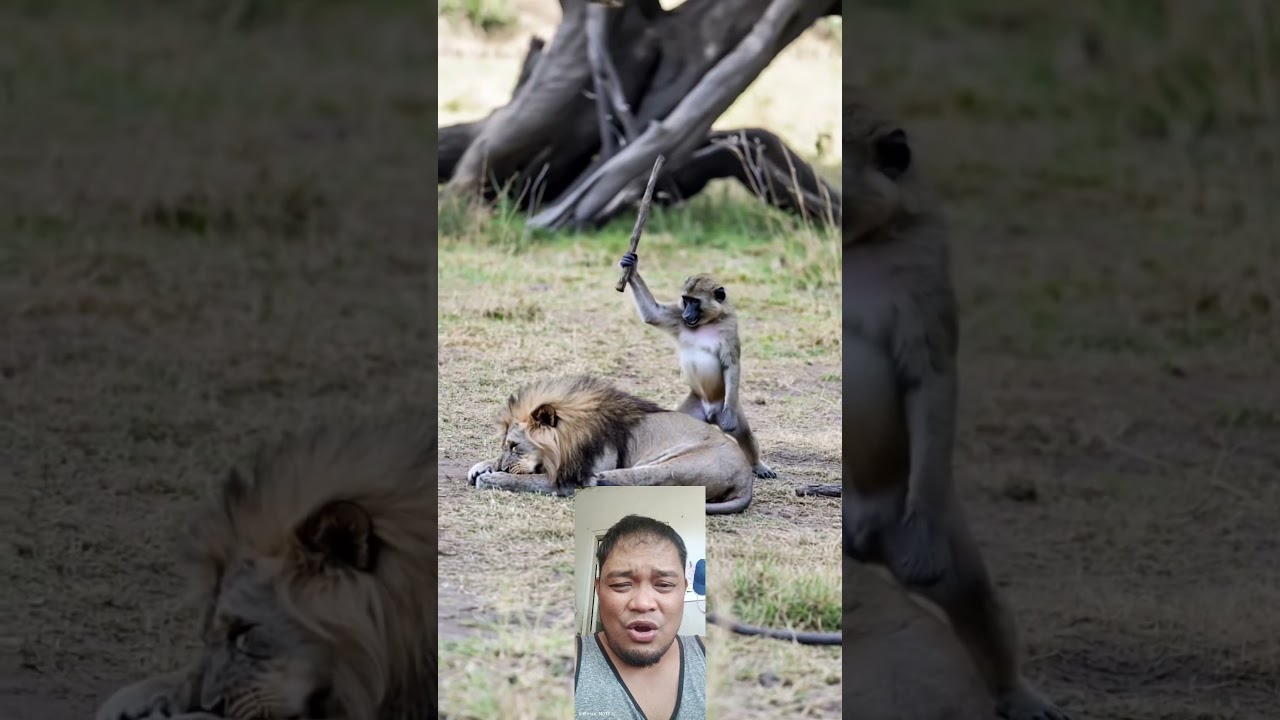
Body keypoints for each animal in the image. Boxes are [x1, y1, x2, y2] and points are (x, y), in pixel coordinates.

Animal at [466, 374, 756, 514]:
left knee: (644, 481)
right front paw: (481, 467)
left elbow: (528, 481)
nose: (502, 467)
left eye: (515, 446)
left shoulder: (569, 477)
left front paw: (493, 478)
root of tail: (746, 481)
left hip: (677, 465)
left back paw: (602, 482)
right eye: (505, 445)